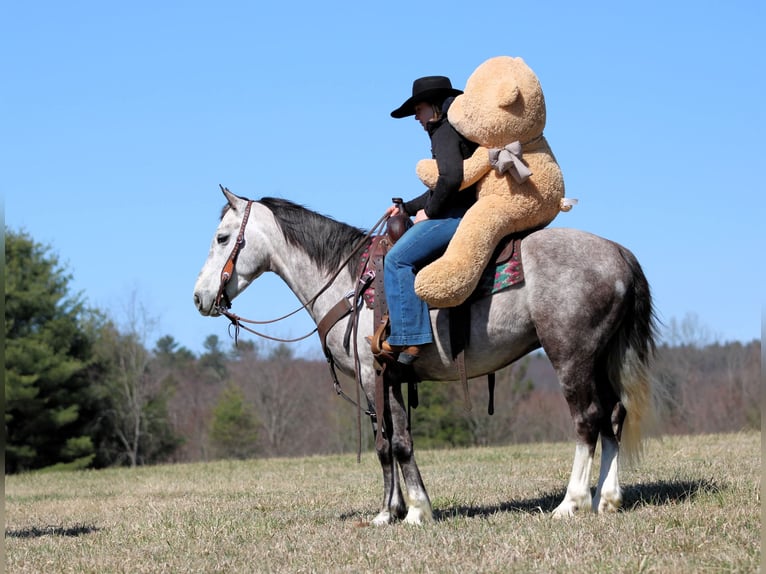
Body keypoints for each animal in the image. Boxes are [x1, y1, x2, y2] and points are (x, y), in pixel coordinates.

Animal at [193, 186, 659, 525]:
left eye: (222, 238)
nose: (199, 297)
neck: (351, 282)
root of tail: (620, 254)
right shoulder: (387, 381)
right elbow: (385, 443)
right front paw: (389, 511)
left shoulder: (375, 375)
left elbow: (398, 443)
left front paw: (416, 511)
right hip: (600, 357)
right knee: (614, 415)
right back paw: (607, 499)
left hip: (571, 357)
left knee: (587, 420)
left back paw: (571, 502)